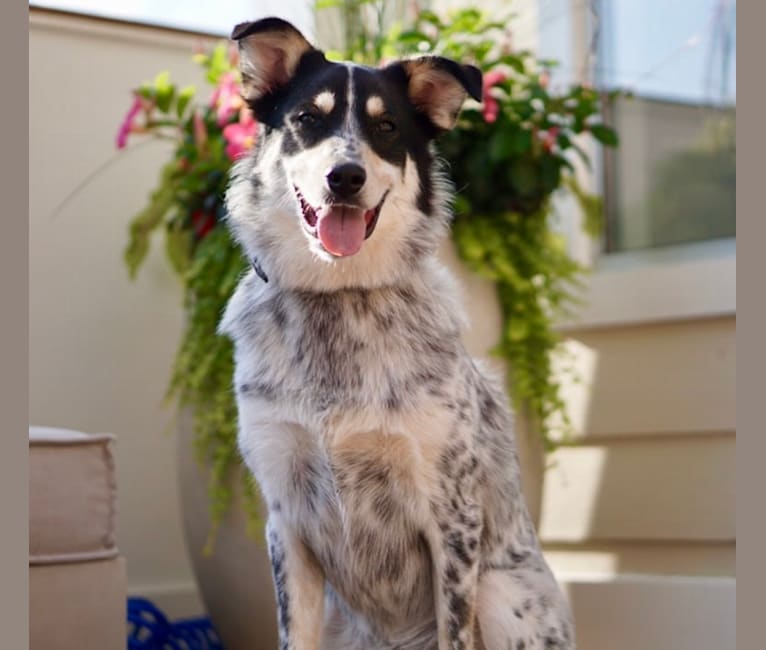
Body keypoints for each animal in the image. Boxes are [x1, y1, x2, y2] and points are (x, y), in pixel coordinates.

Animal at [218, 15, 576, 648]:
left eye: (386, 126)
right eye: (307, 118)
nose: (345, 176)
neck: (337, 298)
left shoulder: (451, 515)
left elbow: (455, 629)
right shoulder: (285, 519)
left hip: (500, 593)